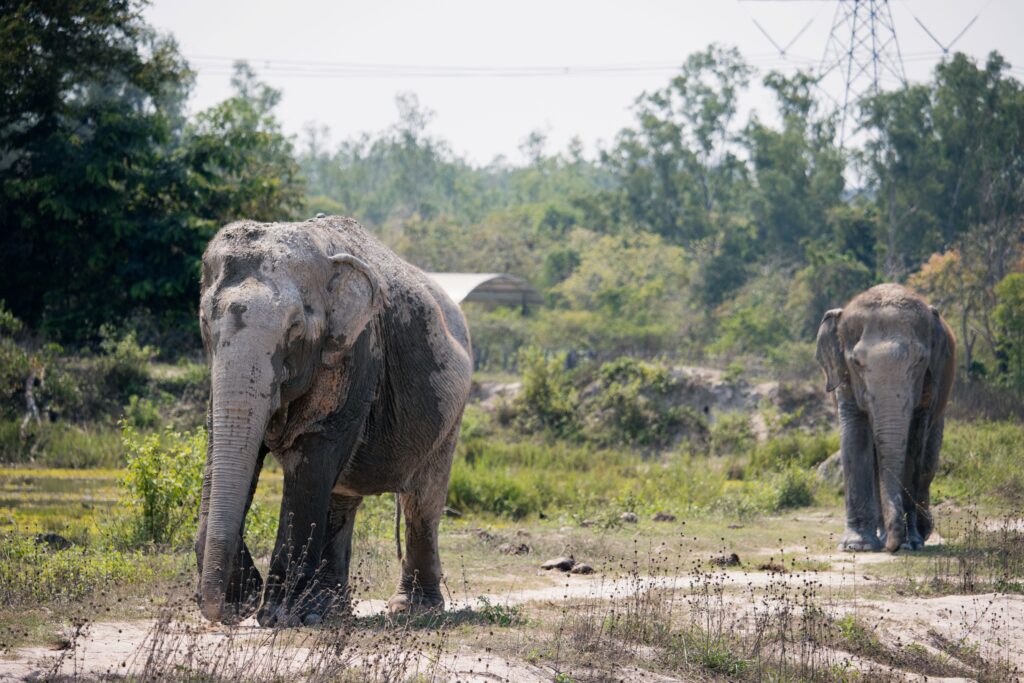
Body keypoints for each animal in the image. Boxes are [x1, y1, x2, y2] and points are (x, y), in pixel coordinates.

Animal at [194, 215, 473, 626]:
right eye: (204, 323)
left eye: (295, 328)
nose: (227, 612)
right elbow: (221, 451)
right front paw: (251, 602)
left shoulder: (356, 352)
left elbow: (313, 454)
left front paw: (277, 616)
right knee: (341, 499)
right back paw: (330, 610)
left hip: (450, 416)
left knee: (421, 502)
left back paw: (410, 608)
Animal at [815, 283, 955, 553]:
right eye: (856, 362)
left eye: (920, 360)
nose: (893, 546)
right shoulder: (845, 379)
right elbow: (855, 438)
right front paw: (856, 546)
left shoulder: (929, 383)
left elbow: (914, 445)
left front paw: (911, 543)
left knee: (928, 464)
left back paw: (921, 533)